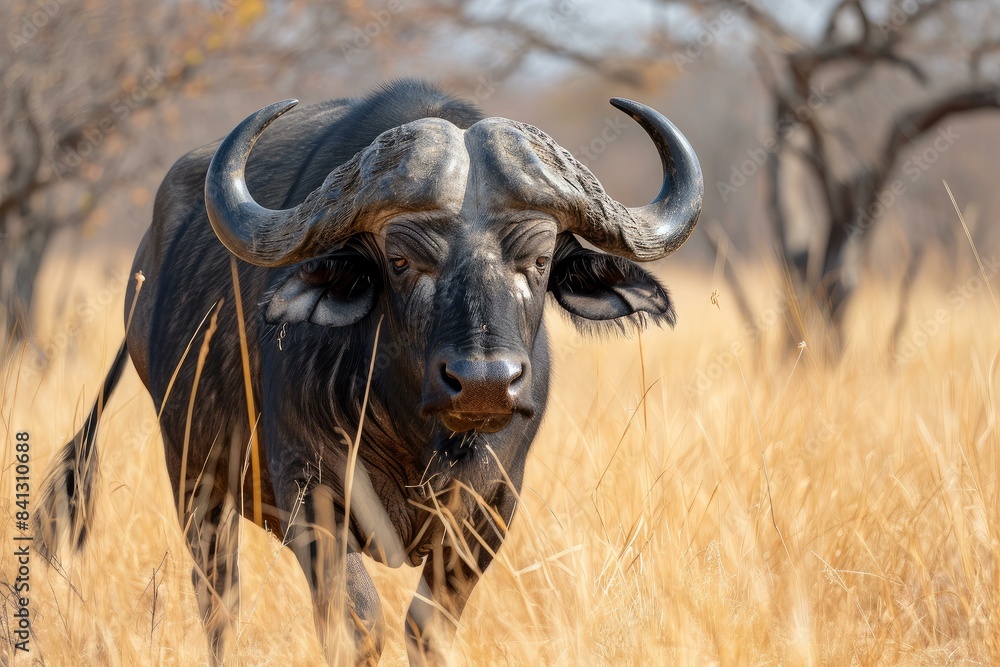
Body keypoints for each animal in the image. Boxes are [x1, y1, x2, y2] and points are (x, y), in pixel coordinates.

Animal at [37, 79, 702, 664]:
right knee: (219, 605)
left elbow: (426, 630)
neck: (419, 435)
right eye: (401, 260)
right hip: (194, 482)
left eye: (538, 260)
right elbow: (357, 624)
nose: (484, 382)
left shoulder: (490, 509)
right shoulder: (311, 495)